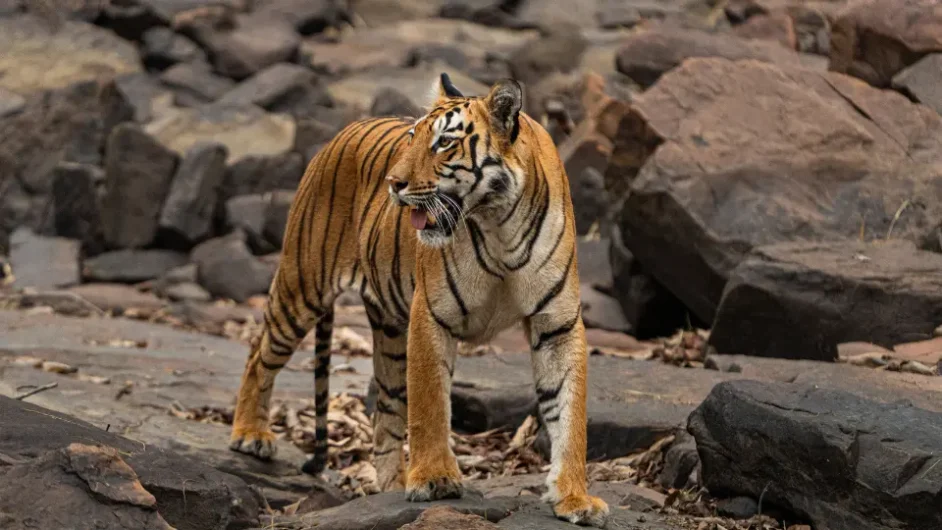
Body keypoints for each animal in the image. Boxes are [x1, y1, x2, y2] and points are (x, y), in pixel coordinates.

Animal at [228, 73, 609, 527]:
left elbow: (570, 413)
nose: (393, 184)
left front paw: (574, 497)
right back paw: (250, 435)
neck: (499, 225)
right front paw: (434, 479)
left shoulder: (557, 326)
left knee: (385, 412)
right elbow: (430, 406)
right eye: (413, 139)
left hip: (389, 332)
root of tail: (341, 132)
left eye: (444, 143)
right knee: (258, 353)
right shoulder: (431, 315)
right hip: (302, 284)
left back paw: (389, 486)